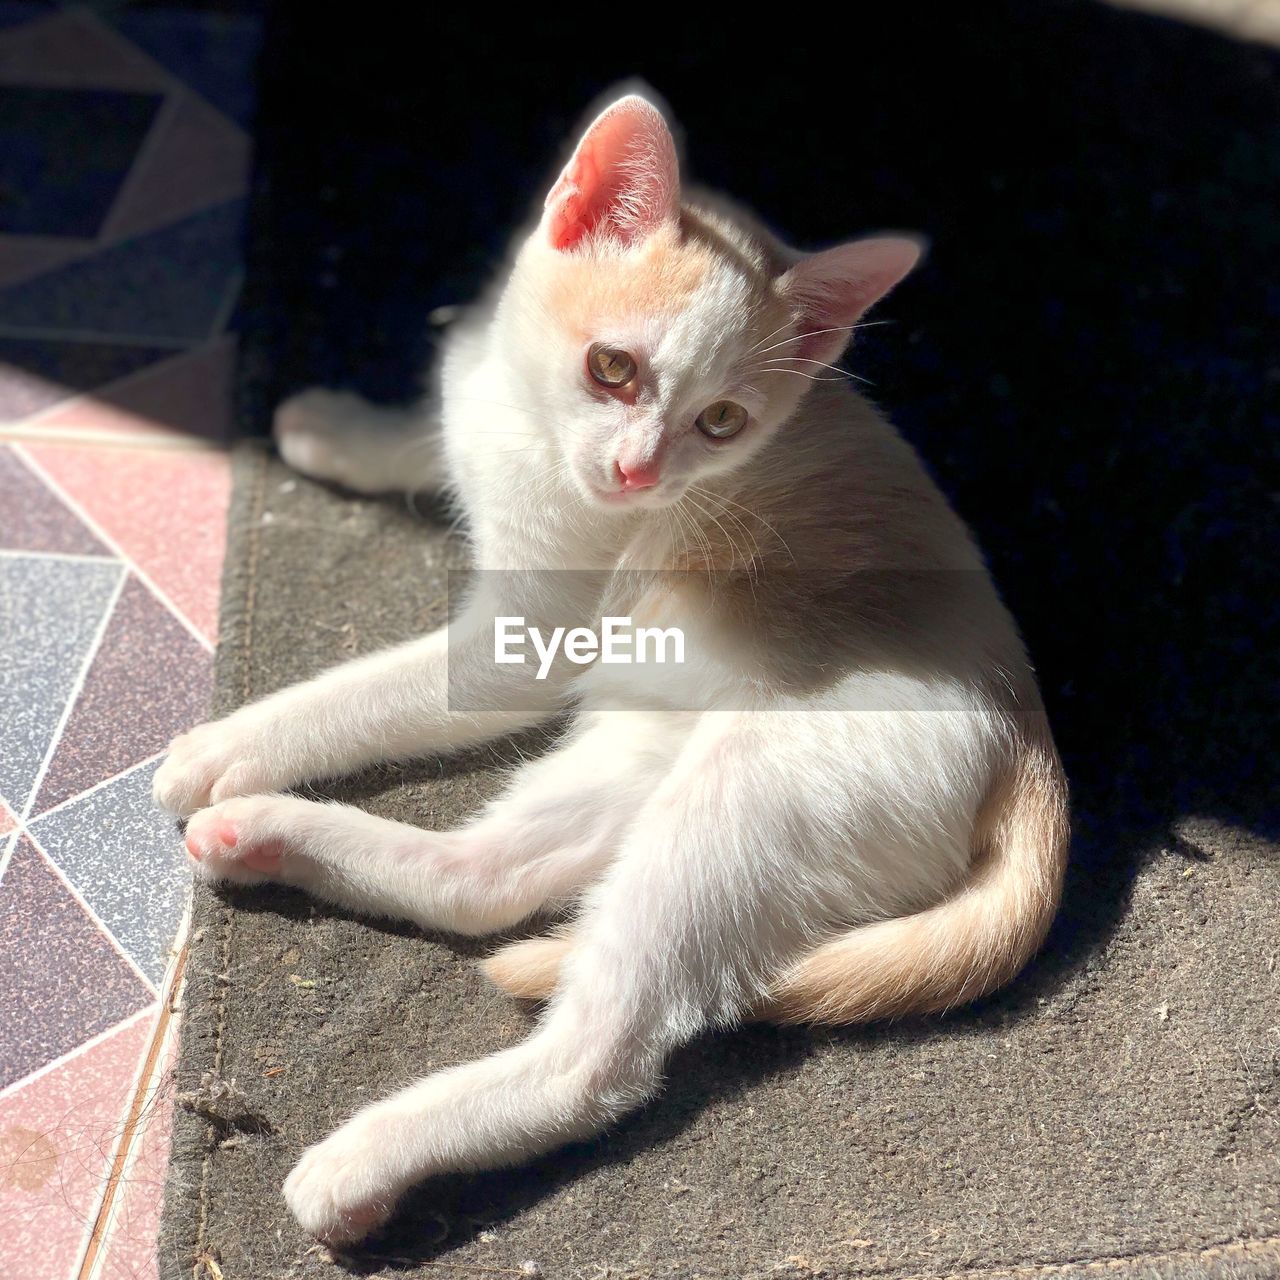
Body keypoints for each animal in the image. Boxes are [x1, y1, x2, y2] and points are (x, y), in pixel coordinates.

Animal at [152, 90, 1070, 1249]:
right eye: (612, 369)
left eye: (721, 422)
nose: (638, 473)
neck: (534, 430)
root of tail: (1028, 735)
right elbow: (431, 433)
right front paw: (346, 433)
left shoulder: (524, 637)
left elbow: (362, 692)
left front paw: (228, 741)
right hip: (643, 746)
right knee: (488, 879)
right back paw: (266, 834)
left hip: (748, 801)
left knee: (597, 1058)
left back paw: (367, 1157)